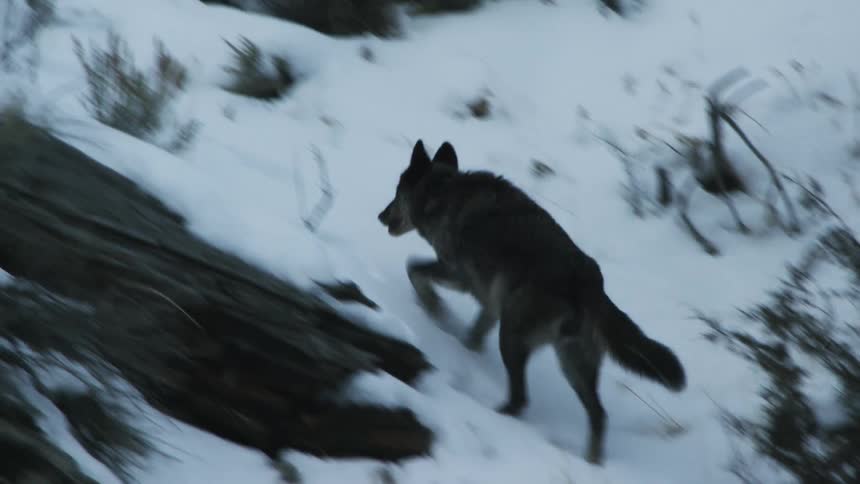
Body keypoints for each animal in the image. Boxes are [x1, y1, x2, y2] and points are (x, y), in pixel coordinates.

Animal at [377, 140, 686, 465]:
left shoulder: (460, 278)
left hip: (513, 339)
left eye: (396, 193)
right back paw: (592, 461)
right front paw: (462, 346)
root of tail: (591, 285)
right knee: (599, 416)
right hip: (571, 363)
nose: (380, 215)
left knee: (521, 400)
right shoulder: (490, 305)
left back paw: (497, 416)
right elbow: (473, 335)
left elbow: (414, 269)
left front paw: (434, 308)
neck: (443, 193)